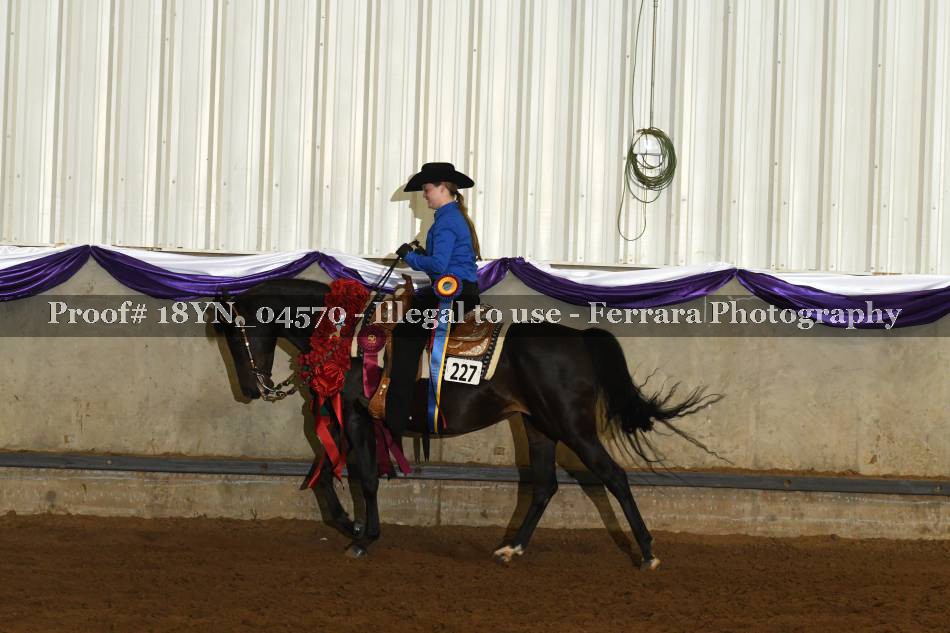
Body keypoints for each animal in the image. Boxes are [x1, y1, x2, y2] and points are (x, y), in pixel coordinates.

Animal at [213, 277, 720, 569]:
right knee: (543, 486)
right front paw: (348, 525)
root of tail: (578, 339)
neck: (348, 337)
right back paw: (512, 548)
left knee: (613, 476)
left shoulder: (354, 418)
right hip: (538, 427)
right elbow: (322, 476)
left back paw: (647, 552)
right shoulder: (342, 422)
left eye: (236, 336)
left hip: (572, 428)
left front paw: (363, 538)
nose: (253, 389)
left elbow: (367, 479)